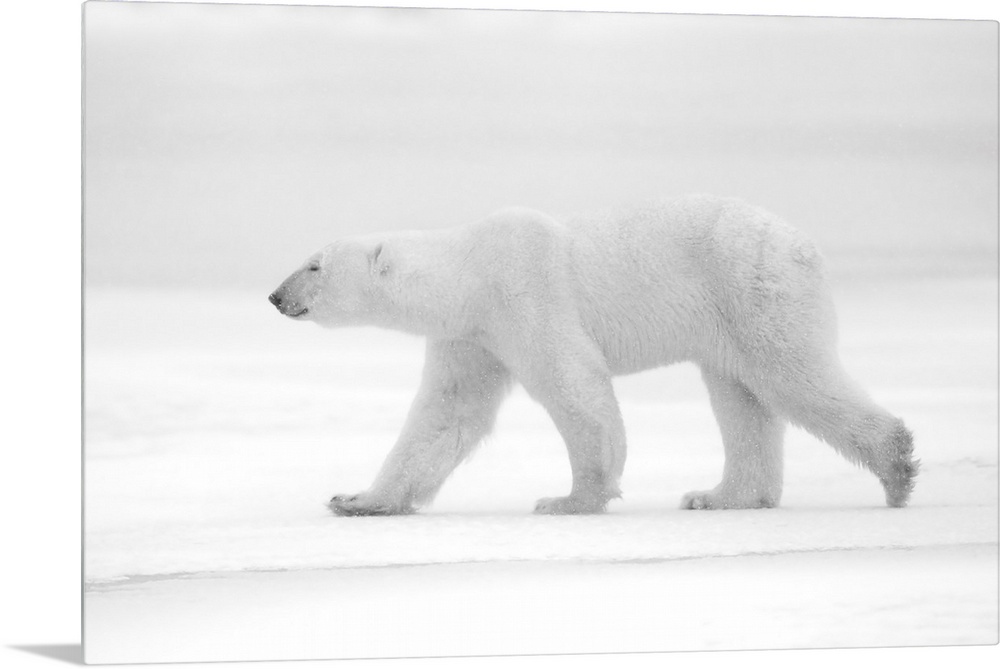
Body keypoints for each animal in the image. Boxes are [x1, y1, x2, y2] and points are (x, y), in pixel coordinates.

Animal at [269, 195, 917, 516]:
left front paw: (568, 499)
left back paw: (896, 468)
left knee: (790, 375)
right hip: (729, 318)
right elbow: (446, 416)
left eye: (314, 265)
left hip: (752, 287)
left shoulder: (525, 292)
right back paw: (718, 496)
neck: (470, 272)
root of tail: (805, 243)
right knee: (741, 398)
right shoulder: (473, 337)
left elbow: (574, 385)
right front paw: (356, 500)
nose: (275, 296)